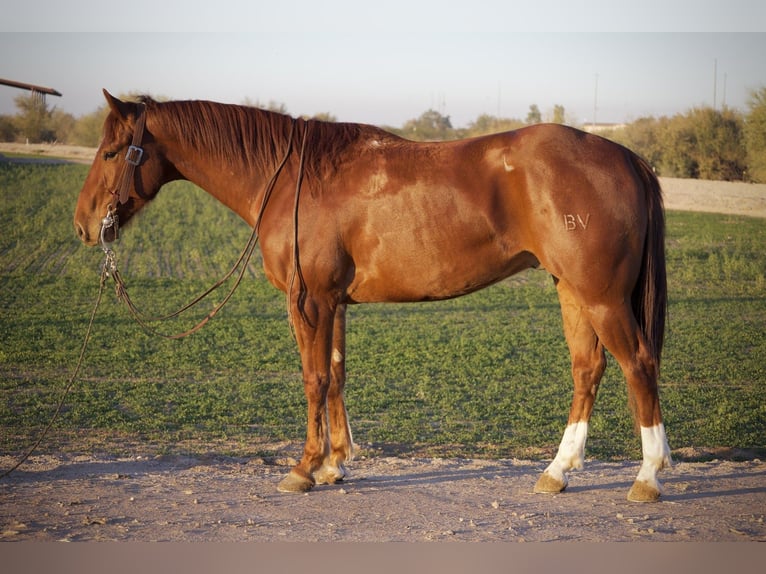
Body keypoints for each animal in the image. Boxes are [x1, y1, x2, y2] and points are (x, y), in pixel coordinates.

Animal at [74, 90, 671, 501]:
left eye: (111, 152)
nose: (83, 224)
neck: (289, 178)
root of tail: (625, 156)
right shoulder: (333, 302)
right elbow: (336, 375)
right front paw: (335, 464)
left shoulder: (309, 300)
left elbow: (313, 379)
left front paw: (304, 468)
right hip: (572, 291)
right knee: (587, 369)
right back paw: (557, 472)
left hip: (602, 296)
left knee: (638, 365)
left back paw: (648, 476)